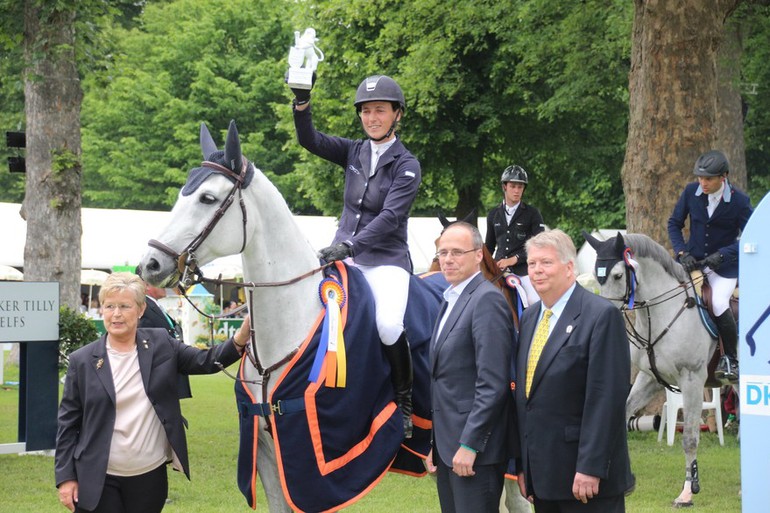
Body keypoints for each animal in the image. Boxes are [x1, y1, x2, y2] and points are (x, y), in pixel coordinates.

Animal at [584, 232, 716, 508]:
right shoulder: (650, 378)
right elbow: (621, 415)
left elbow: (689, 438)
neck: (663, 312)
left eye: (617, 276)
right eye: (595, 275)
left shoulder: (692, 379)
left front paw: (688, 492)